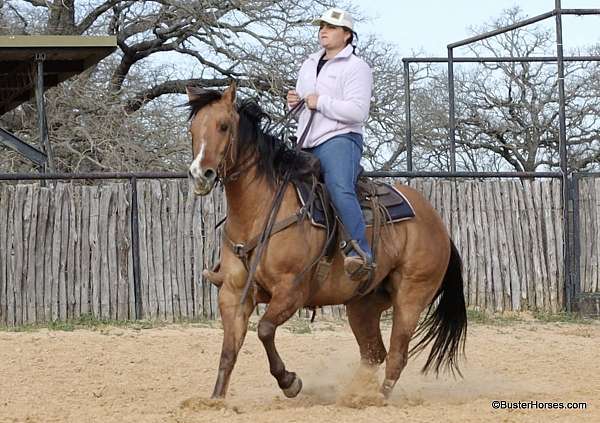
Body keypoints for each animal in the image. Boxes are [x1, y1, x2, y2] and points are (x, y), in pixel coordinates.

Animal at [185, 80, 466, 400]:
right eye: (192, 129)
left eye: (223, 126)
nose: (200, 175)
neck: (261, 210)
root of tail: (438, 224)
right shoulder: (232, 294)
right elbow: (229, 352)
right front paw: (216, 400)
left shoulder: (291, 291)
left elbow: (265, 330)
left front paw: (290, 382)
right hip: (363, 304)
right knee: (374, 353)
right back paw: (354, 394)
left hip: (411, 296)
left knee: (397, 354)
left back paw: (373, 399)